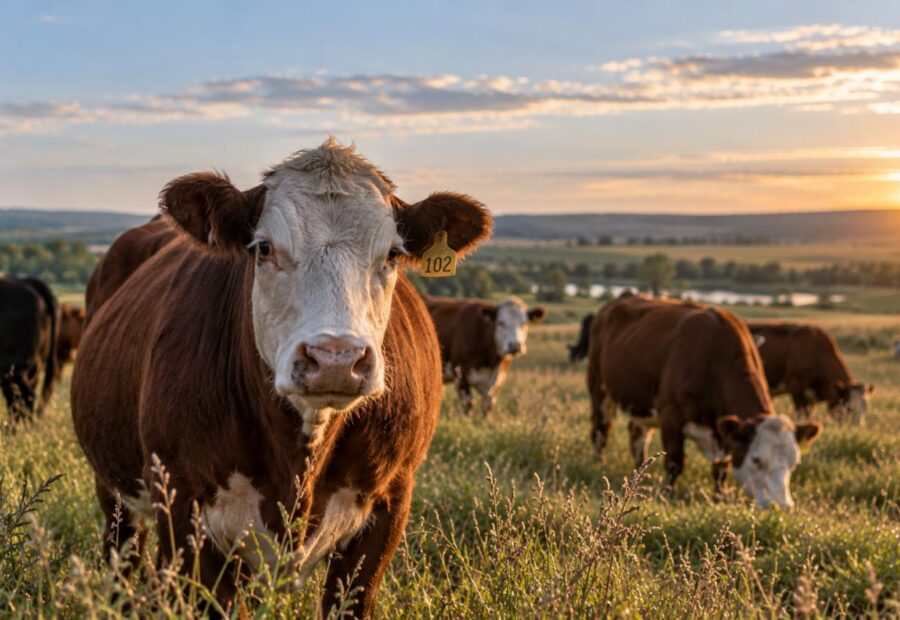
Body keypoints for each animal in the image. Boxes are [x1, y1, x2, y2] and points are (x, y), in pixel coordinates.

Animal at [71, 139, 492, 618]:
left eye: (392, 254)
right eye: (265, 248)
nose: (335, 358)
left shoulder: (390, 501)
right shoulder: (181, 502)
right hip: (115, 494)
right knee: (124, 564)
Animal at [587, 293, 822, 509]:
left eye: (794, 462)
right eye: (756, 459)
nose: (782, 506)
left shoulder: (723, 432)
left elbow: (721, 468)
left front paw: (720, 495)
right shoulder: (670, 415)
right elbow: (675, 463)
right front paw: (667, 494)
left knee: (637, 436)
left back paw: (640, 471)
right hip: (598, 386)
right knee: (601, 430)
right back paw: (599, 462)